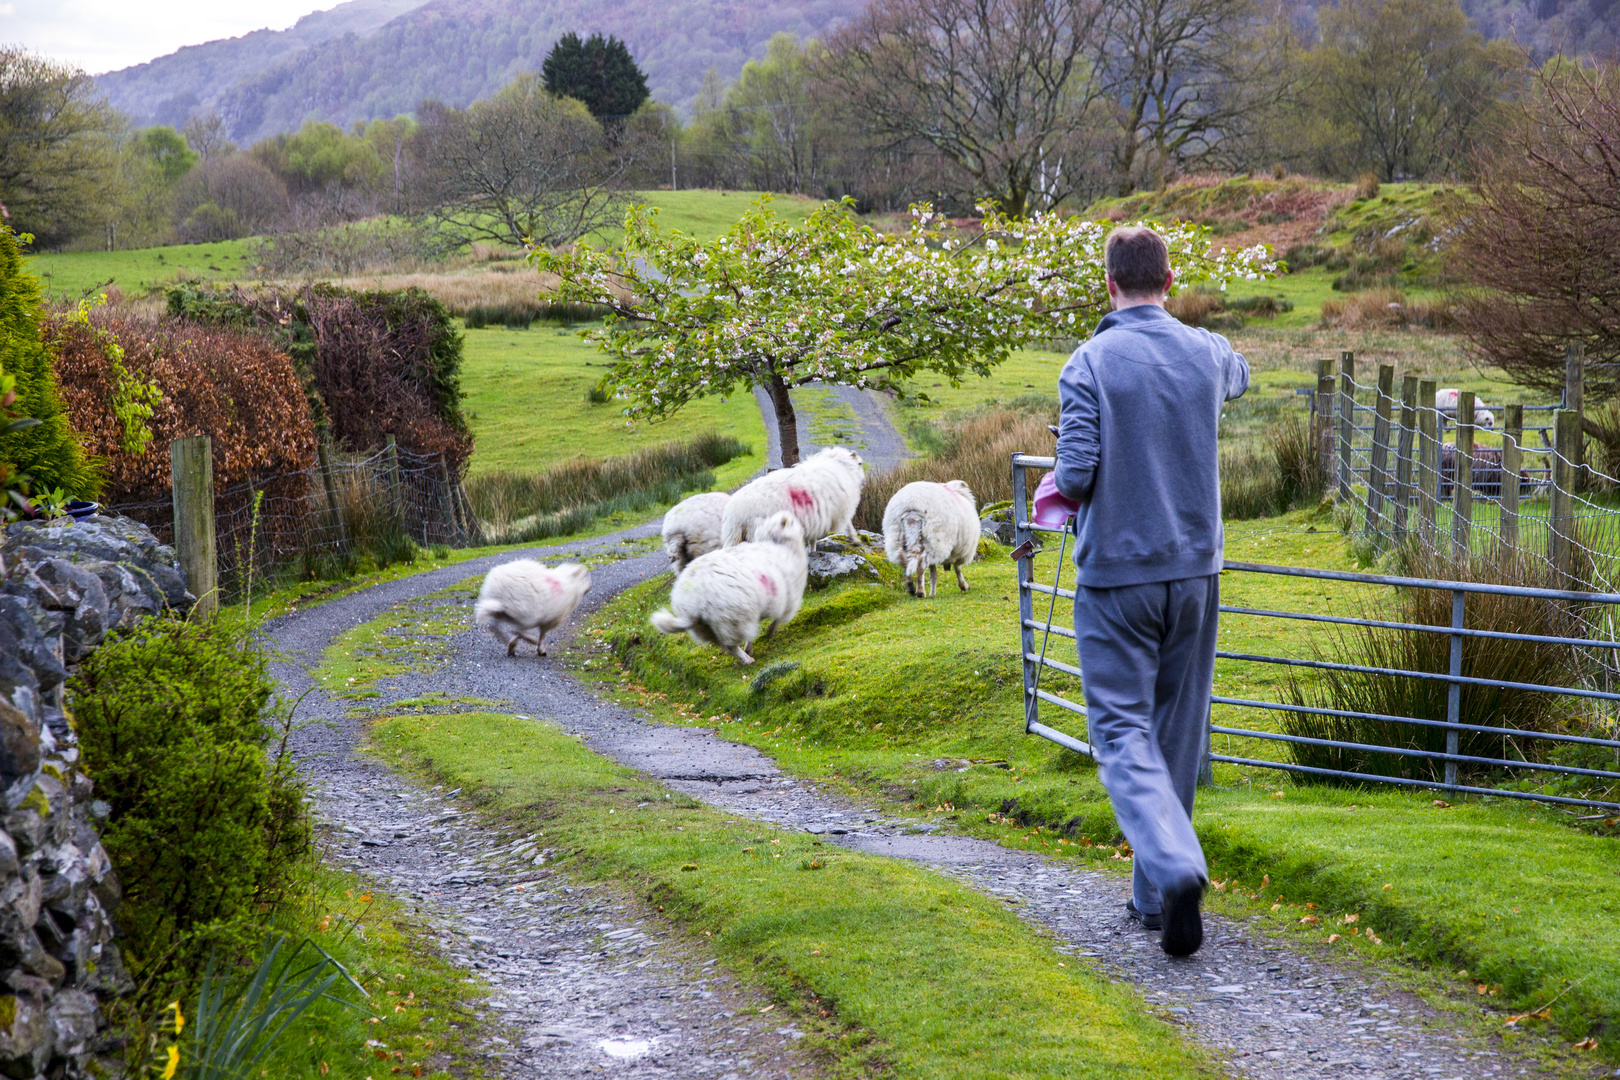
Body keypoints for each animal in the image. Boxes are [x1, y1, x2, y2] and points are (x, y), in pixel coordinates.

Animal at [651, 511, 810, 663]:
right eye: (792, 522)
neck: (779, 544)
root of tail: (690, 605)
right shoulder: (788, 599)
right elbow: (778, 620)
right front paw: (769, 632)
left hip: (706, 628)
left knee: (725, 645)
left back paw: (745, 655)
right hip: (733, 620)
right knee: (732, 646)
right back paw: (747, 660)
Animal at [722, 446, 868, 553]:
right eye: (860, 463)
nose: (864, 482)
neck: (841, 467)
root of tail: (734, 513)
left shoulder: (817, 518)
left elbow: (813, 539)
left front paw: (813, 551)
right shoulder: (839, 509)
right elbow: (849, 524)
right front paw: (856, 540)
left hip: (735, 536)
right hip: (757, 533)